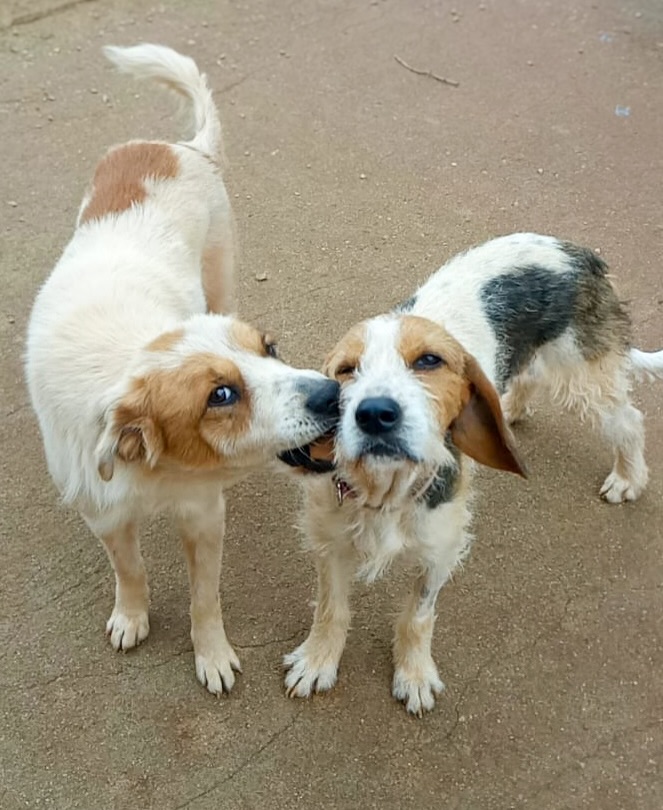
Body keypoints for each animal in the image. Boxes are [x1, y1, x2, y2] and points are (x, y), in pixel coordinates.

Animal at [25, 44, 339, 696]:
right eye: (220, 394)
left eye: (269, 348)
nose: (334, 395)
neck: (158, 473)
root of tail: (181, 146)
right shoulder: (104, 514)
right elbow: (131, 571)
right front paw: (131, 617)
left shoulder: (203, 514)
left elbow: (204, 600)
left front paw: (212, 655)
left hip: (221, 273)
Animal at [281, 232, 663, 714]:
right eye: (347, 370)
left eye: (429, 361)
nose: (375, 414)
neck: (387, 489)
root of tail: (578, 253)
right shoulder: (330, 538)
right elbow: (331, 608)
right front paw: (318, 660)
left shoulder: (439, 547)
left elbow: (418, 616)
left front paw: (414, 674)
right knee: (528, 376)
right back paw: (510, 410)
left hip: (584, 376)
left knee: (628, 420)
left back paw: (628, 477)